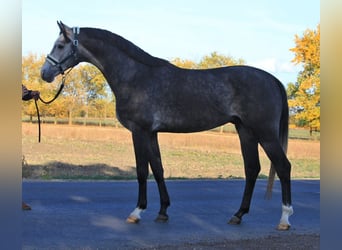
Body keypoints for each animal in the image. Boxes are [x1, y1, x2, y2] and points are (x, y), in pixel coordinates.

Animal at [40, 21, 294, 230]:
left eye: (60, 45)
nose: (44, 73)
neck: (136, 76)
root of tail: (272, 79)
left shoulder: (139, 131)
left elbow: (142, 171)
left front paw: (137, 212)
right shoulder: (152, 133)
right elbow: (158, 169)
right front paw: (162, 212)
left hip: (265, 134)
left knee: (283, 166)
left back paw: (284, 219)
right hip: (246, 132)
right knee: (252, 169)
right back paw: (238, 215)